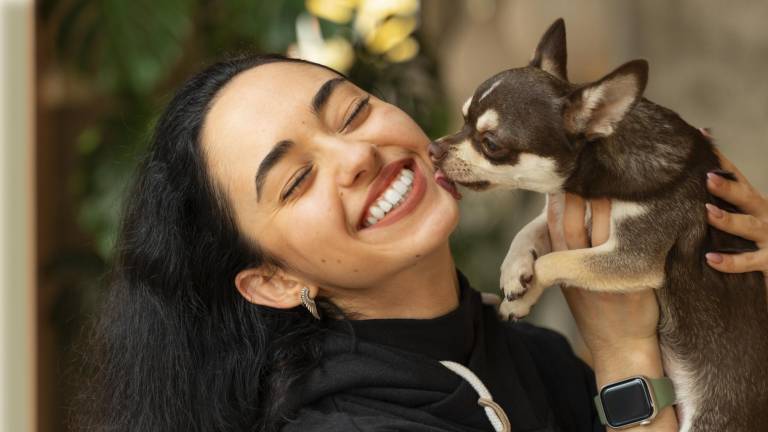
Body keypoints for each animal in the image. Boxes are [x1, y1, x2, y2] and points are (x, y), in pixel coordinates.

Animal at [428, 17, 768, 432]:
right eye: (462, 120)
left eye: (490, 143)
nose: (433, 148)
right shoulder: (561, 209)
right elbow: (529, 230)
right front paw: (514, 274)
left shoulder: (633, 258)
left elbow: (554, 261)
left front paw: (526, 289)